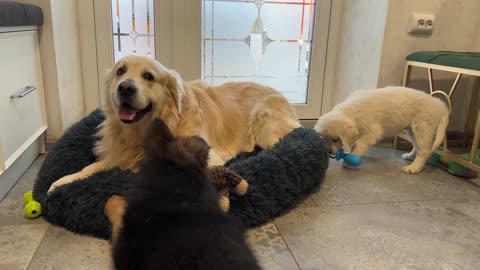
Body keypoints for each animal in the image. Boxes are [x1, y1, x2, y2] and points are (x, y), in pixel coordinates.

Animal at [47, 54, 296, 192]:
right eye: (120, 71)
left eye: (148, 76)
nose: (125, 87)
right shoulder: (118, 155)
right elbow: (90, 168)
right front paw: (61, 182)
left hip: (265, 123)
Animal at [316, 87, 450, 174]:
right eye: (324, 138)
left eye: (335, 139)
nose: (329, 152)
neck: (353, 110)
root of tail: (440, 104)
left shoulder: (372, 131)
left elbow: (360, 144)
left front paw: (350, 159)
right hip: (411, 130)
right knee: (418, 146)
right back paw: (410, 157)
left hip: (423, 127)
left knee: (425, 150)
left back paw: (414, 167)